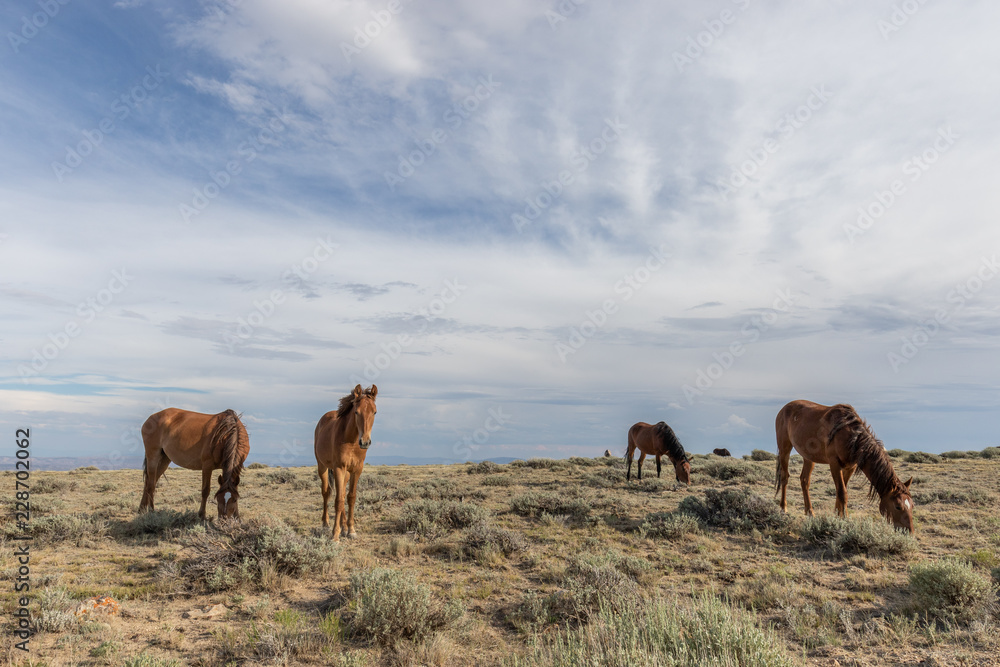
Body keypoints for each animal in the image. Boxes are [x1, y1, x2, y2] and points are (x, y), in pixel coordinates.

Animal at [315, 384, 378, 540]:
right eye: (356, 412)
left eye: (374, 412)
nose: (365, 442)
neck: (352, 441)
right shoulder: (339, 468)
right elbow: (338, 500)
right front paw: (335, 535)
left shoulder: (356, 470)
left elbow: (350, 497)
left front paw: (350, 530)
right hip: (322, 467)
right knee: (326, 492)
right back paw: (325, 524)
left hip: (346, 473)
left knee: (342, 493)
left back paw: (343, 527)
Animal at [774, 400, 914, 533]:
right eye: (898, 506)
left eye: (912, 505)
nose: (908, 531)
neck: (852, 437)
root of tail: (783, 409)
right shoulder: (834, 464)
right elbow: (842, 492)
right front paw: (845, 519)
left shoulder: (850, 467)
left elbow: (841, 490)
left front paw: (837, 515)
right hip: (784, 449)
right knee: (784, 477)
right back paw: (783, 508)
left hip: (808, 457)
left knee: (805, 481)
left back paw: (810, 512)